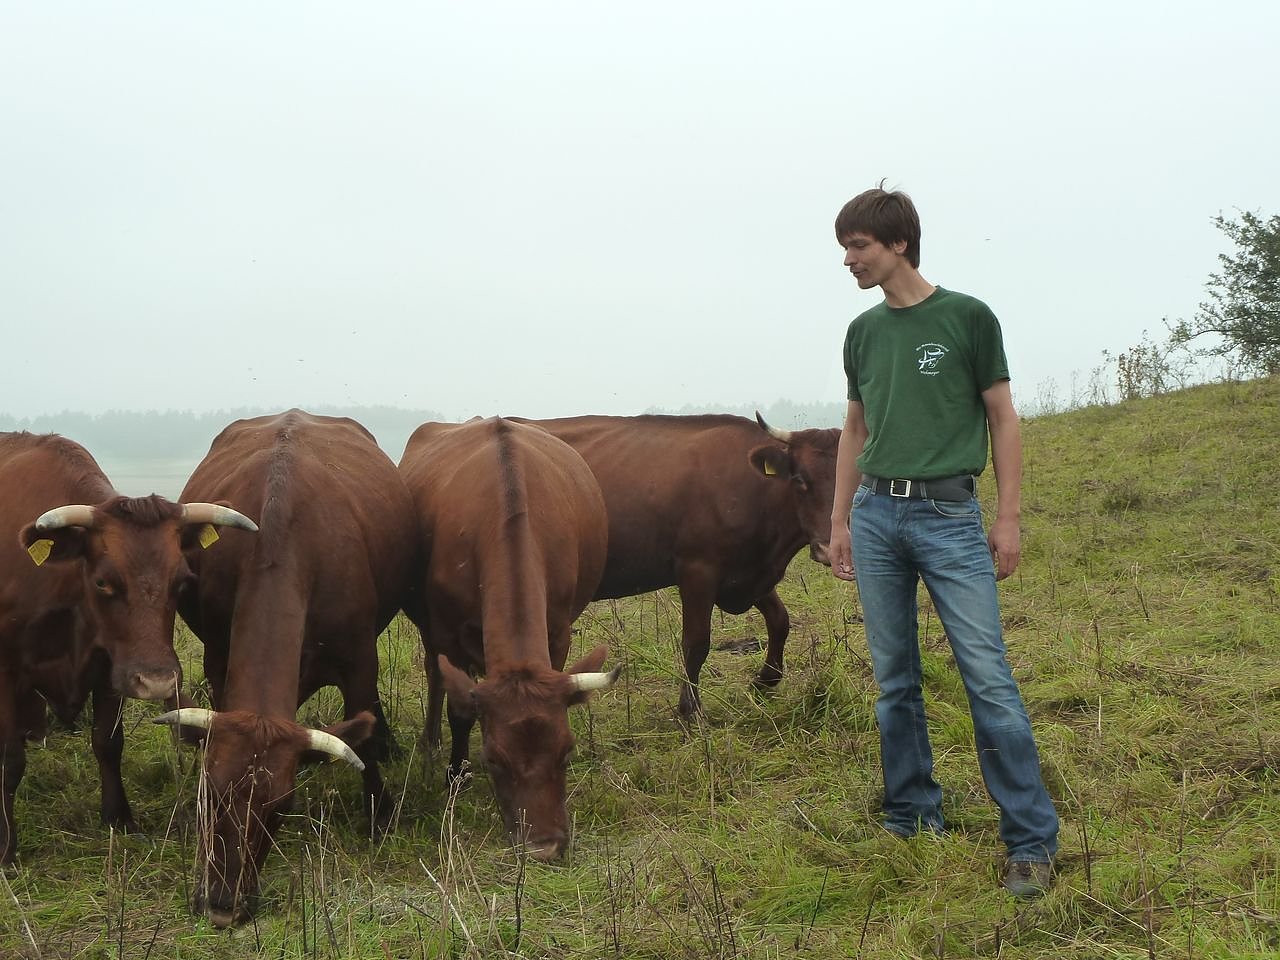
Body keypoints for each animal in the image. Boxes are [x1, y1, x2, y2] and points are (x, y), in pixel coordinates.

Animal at [0, 431, 257, 864]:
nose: (158, 681)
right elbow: (9, 760)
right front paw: (5, 846)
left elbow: (108, 742)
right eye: (103, 581)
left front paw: (119, 817)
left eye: (182, 580)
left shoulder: (111, 666)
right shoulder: (6, 671)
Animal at [155, 410, 417, 928]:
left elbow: (364, 733)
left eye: (280, 808)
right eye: (208, 793)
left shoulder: (360, 659)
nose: (223, 906)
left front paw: (379, 814)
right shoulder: (218, 657)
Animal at [400, 417, 620, 861]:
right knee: (433, 674)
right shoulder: (446, 631)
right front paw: (456, 776)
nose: (544, 847)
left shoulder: (559, 630)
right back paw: (431, 743)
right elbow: (460, 709)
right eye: (494, 759)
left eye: (566, 750)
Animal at [512, 413, 840, 720]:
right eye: (800, 480)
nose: (829, 549)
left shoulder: (748, 574)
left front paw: (764, 681)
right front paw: (690, 710)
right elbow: (696, 643)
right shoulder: (698, 570)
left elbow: (780, 621)